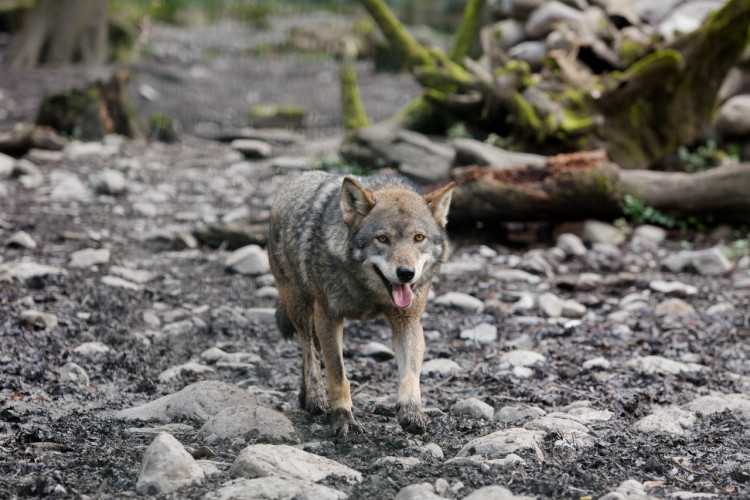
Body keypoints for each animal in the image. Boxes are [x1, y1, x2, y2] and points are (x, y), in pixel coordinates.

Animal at [272, 171, 458, 434]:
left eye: (419, 238)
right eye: (383, 238)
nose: (406, 273)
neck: (370, 294)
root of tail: (297, 178)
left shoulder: (408, 321)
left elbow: (410, 374)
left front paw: (411, 411)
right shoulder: (328, 316)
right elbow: (338, 376)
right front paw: (343, 418)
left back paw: (304, 396)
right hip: (301, 309)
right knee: (308, 351)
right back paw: (315, 397)